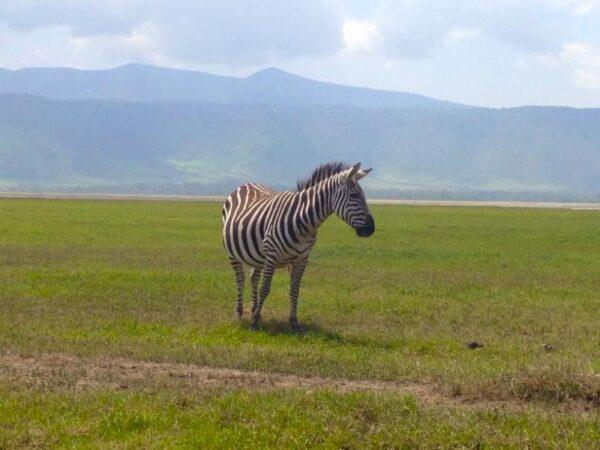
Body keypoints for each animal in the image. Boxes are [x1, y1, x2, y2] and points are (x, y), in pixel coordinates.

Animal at [220, 160, 376, 328]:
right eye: (354, 195)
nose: (371, 229)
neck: (303, 221)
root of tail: (246, 184)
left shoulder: (302, 258)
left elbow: (295, 289)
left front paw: (293, 321)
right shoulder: (272, 254)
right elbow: (265, 288)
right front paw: (254, 321)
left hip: (257, 256)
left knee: (253, 278)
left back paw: (255, 309)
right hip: (232, 253)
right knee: (240, 280)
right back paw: (239, 313)